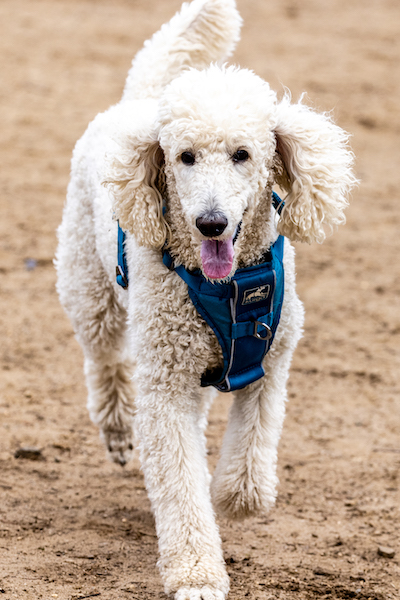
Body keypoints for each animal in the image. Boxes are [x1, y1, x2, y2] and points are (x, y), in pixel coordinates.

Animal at [55, 2, 356, 596]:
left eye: (243, 154)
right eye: (184, 157)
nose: (211, 222)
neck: (229, 286)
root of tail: (138, 101)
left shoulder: (269, 362)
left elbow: (247, 462)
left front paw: (231, 497)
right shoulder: (166, 385)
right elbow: (179, 481)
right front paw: (196, 572)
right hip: (89, 289)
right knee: (104, 359)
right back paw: (119, 428)